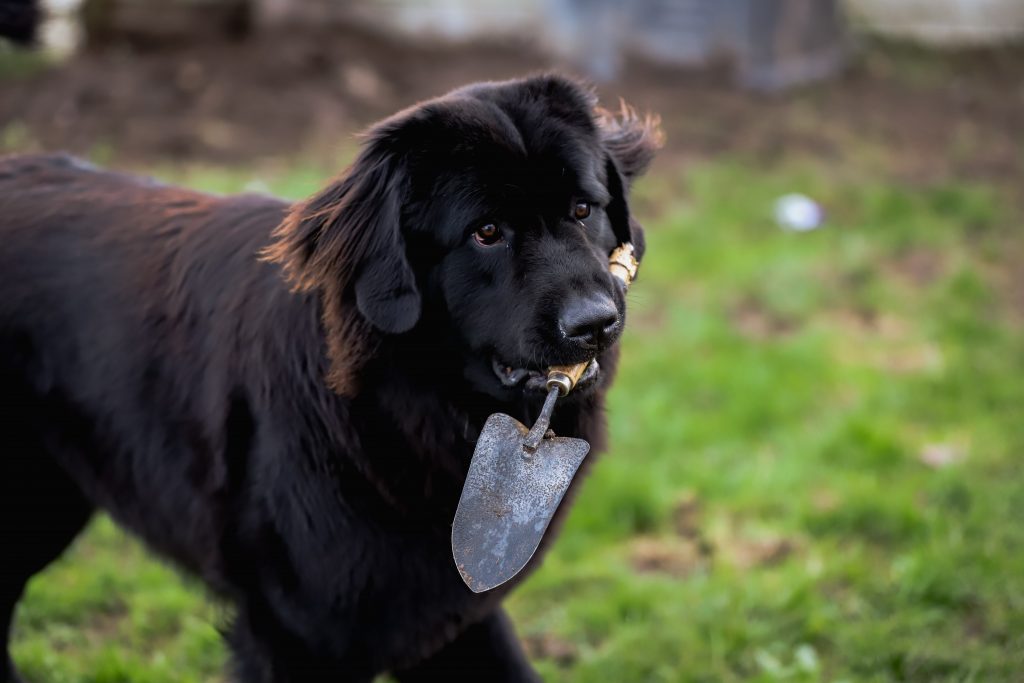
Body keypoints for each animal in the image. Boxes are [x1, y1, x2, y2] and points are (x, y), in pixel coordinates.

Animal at [0, 72, 659, 679]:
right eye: (487, 232)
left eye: (583, 209)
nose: (595, 323)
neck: (403, 408)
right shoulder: (292, 630)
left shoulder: (448, 609)